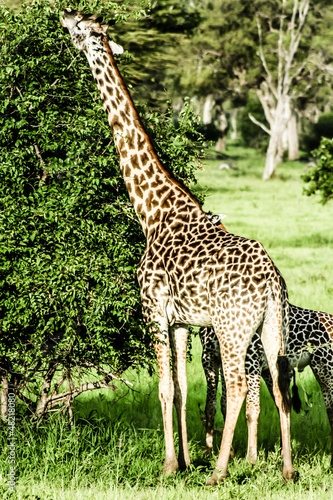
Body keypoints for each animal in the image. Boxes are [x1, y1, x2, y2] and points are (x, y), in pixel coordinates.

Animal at [59, 8, 294, 484]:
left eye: (85, 27)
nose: (64, 14)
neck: (152, 210)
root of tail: (272, 284)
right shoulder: (182, 320)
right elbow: (184, 387)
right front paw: (184, 460)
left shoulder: (152, 307)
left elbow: (166, 387)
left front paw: (170, 465)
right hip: (269, 326)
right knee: (278, 383)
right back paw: (286, 470)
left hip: (232, 328)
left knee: (237, 387)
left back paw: (220, 471)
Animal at [200, 302, 332, 466]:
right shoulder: (210, 359)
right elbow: (214, 406)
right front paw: (213, 452)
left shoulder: (251, 361)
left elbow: (251, 410)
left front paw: (250, 459)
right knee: (286, 404)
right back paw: (284, 453)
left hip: (324, 368)